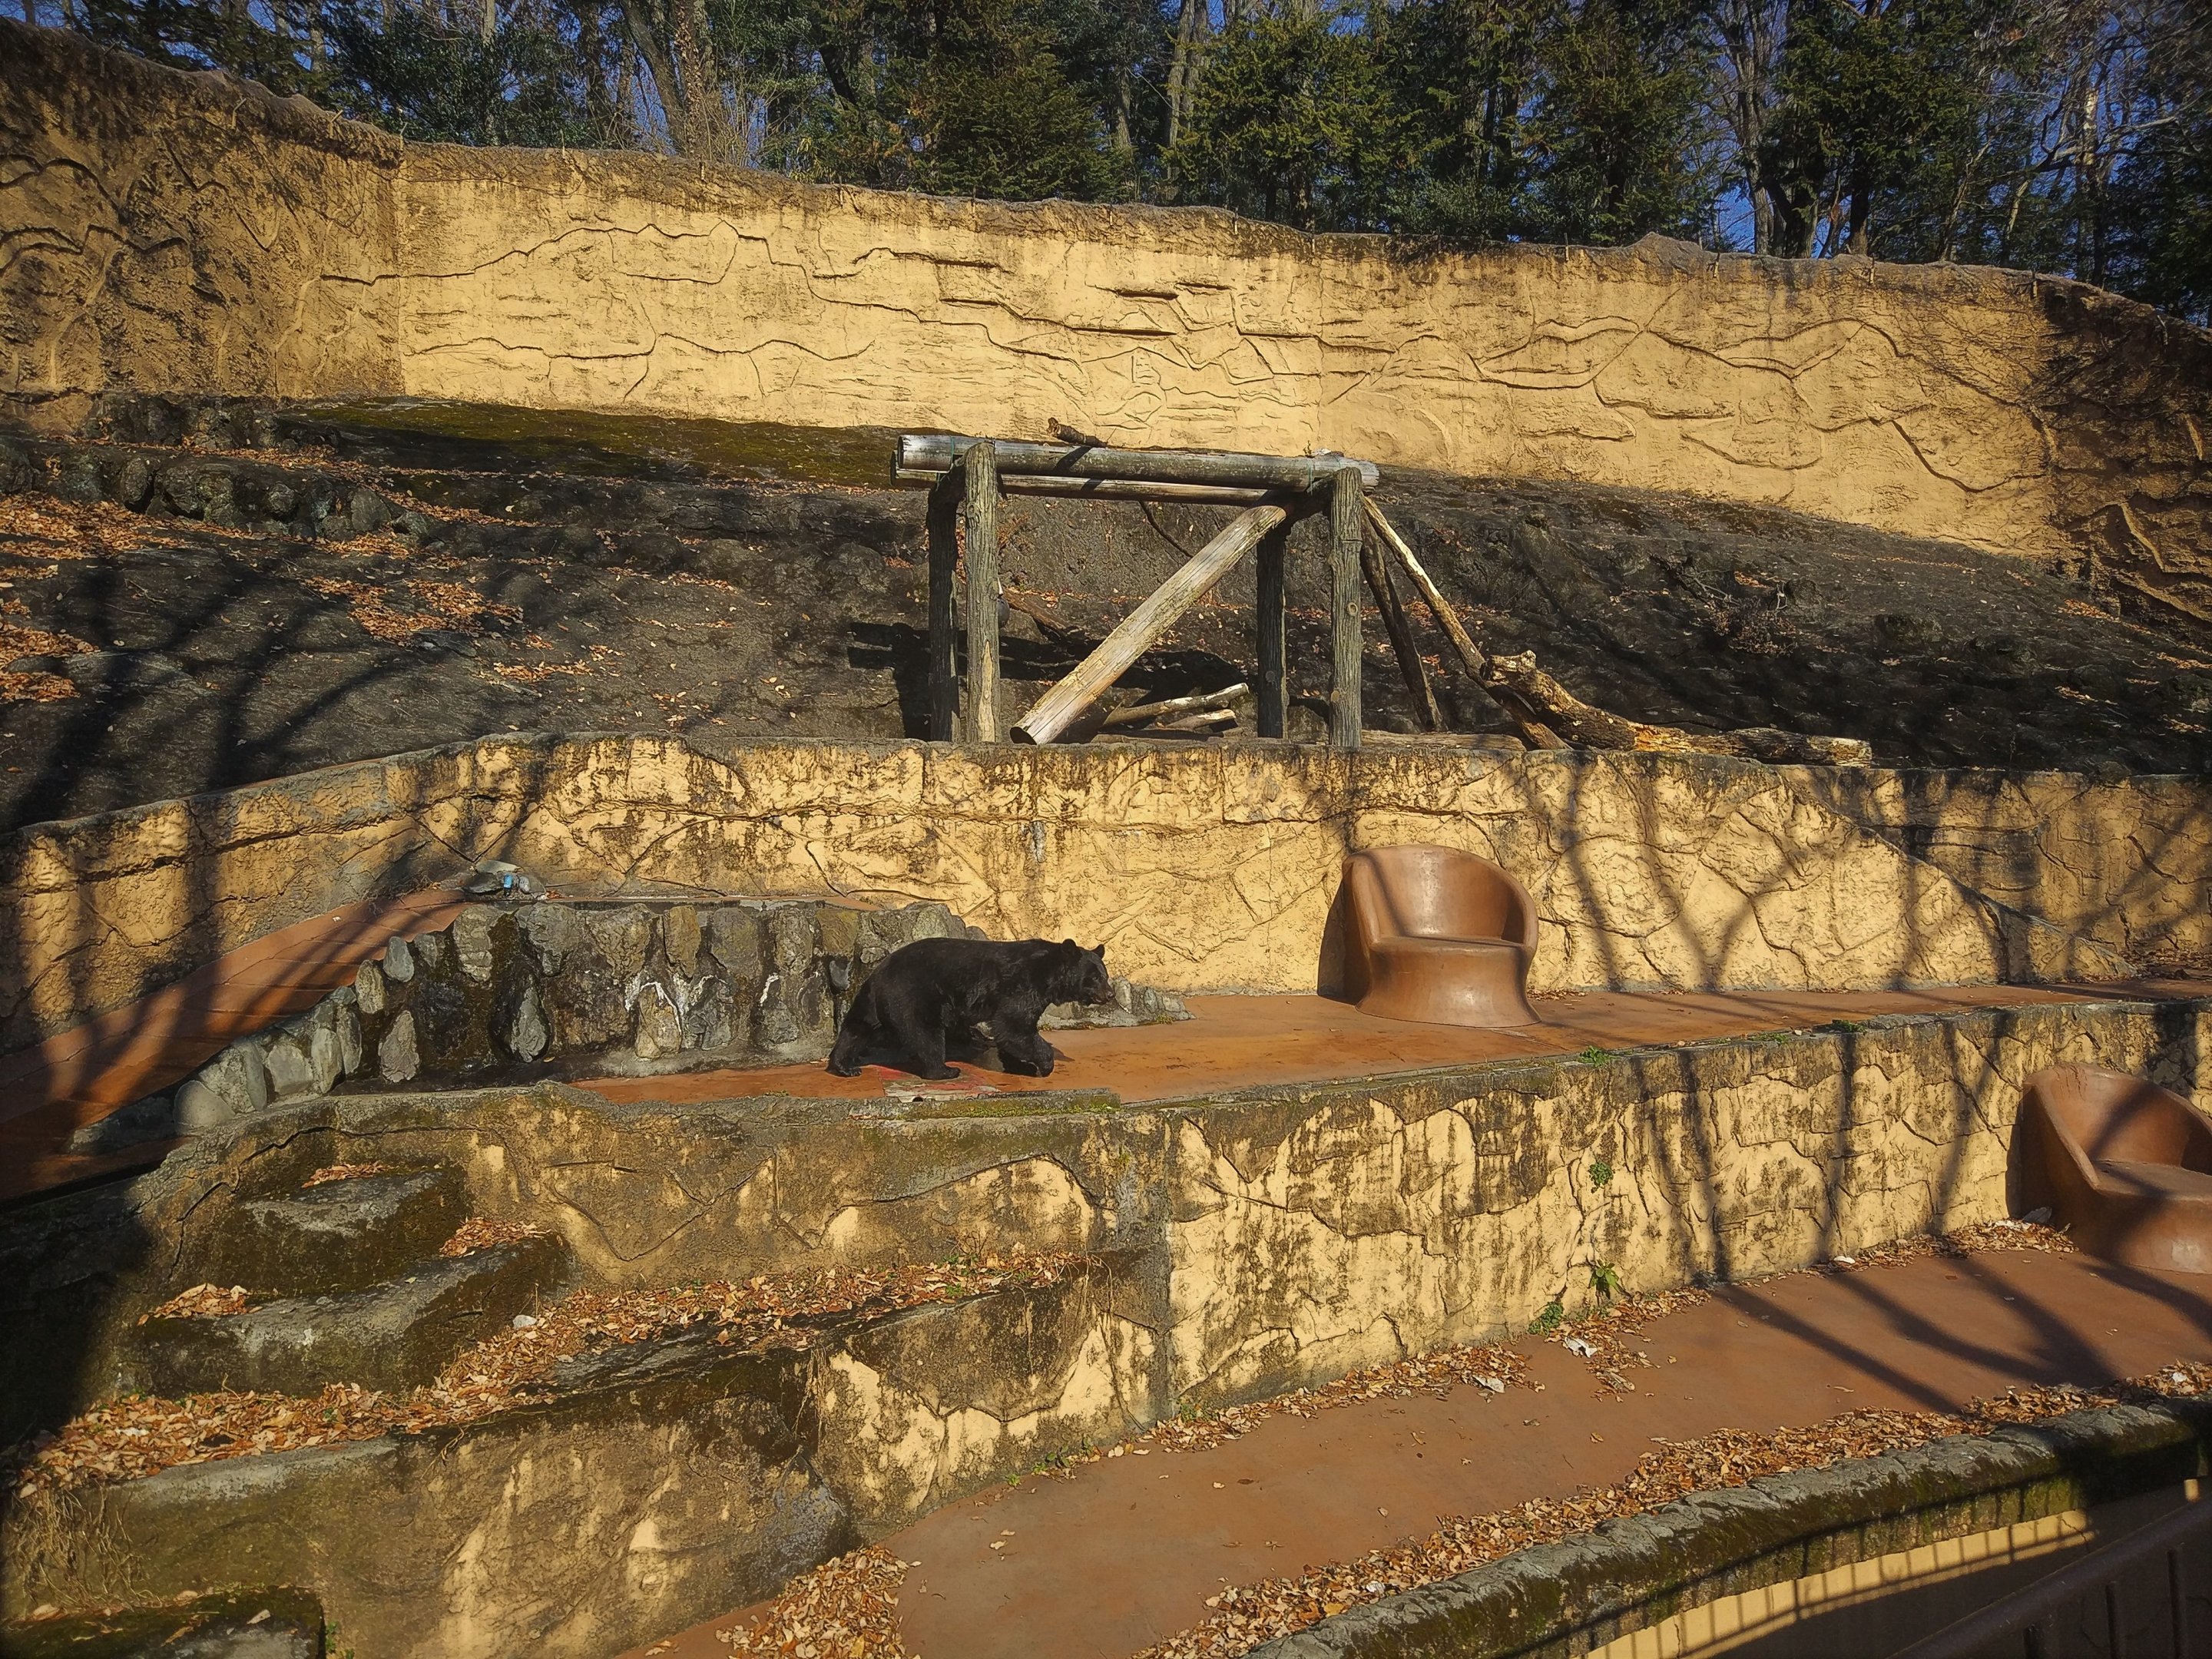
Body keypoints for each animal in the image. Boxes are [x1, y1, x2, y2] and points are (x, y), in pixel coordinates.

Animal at [826, 937, 1111, 1080]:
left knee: (857, 1029)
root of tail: (879, 973)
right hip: (915, 995)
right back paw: (944, 1070)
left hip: (873, 1001)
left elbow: (1009, 1033)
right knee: (925, 1035)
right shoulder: (1023, 984)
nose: (1109, 994)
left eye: (1105, 975)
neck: (1050, 974)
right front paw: (1044, 1064)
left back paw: (844, 1066)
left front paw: (1022, 1067)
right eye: (1095, 977)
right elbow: (1014, 1026)